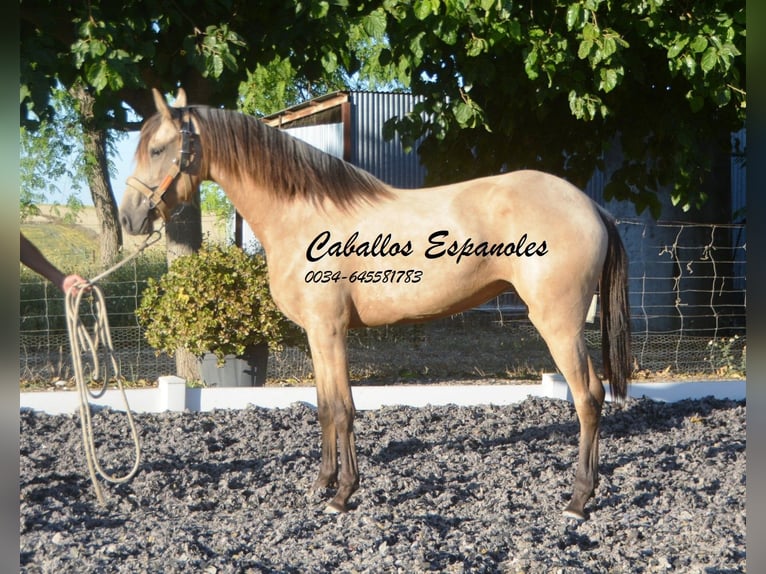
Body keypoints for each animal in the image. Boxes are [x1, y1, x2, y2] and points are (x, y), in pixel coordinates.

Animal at [120, 89, 632, 520]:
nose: (130, 218)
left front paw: (343, 494)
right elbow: (325, 406)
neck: (304, 215)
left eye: (159, 149)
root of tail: (589, 206)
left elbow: (344, 407)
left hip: (558, 325)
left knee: (588, 398)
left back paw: (578, 500)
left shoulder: (330, 330)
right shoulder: (316, 333)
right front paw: (322, 484)